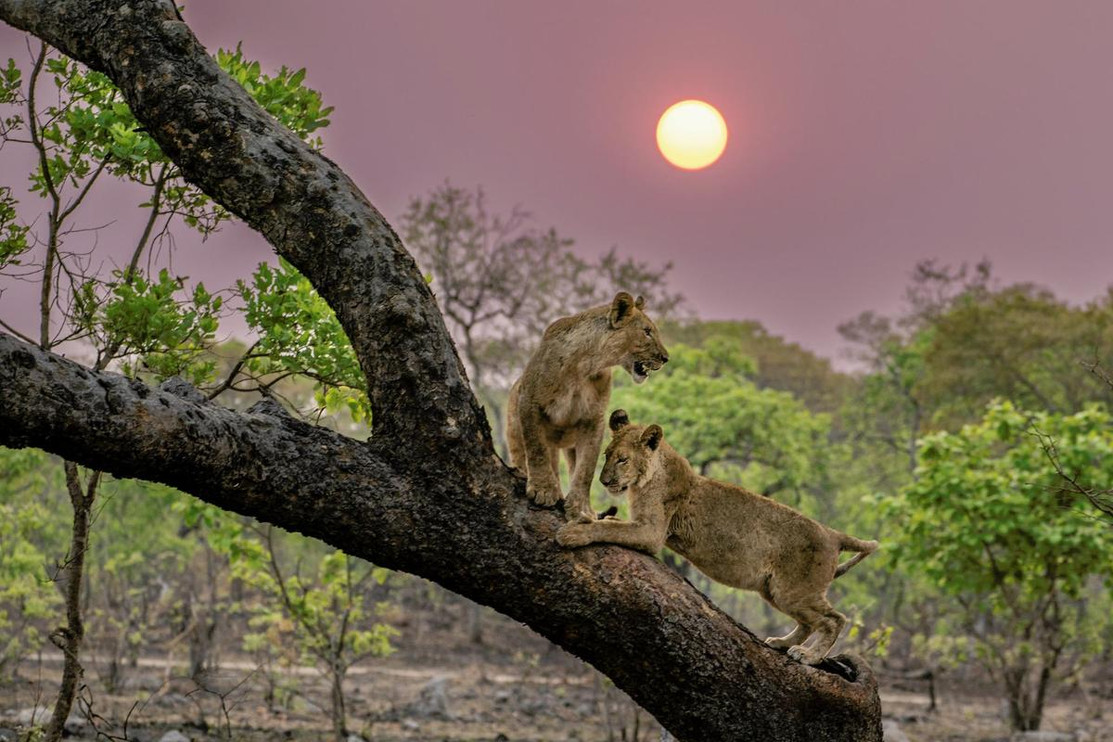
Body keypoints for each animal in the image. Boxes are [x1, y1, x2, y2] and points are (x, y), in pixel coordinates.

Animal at [506, 293, 669, 522]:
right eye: (647, 332)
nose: (666, 358)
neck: (586, 365)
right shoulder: (529, 401)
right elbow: (536, 448)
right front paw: (543, 489)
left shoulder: (593, 419)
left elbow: (586, 468)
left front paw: (582, 508)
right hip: (514, 425)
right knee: (525, 453)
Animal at [556, 410, 879, 665]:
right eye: (606, 456)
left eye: (623, 459)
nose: (604, 481)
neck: (647, 478)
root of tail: (833, 533)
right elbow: (613, 523)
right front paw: (595, 518)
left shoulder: (652, 533)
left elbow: (610, 529)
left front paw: (573, 532)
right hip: (775, 590)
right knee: (808, 623)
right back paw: (783, 643)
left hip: (794, 589)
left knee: (834, 620)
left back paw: (809, 656)